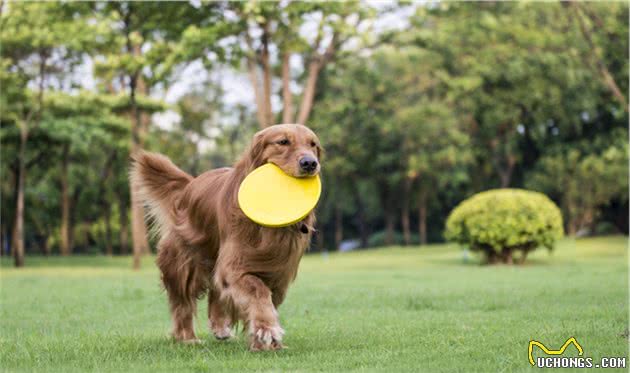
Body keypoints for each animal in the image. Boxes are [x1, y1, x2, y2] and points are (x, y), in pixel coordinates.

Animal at [131, 123, 324, 348]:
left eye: (313, 144)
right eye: (283, 142)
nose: (310, 163)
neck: (269, 229)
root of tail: (190, 184)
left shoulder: (279, 273)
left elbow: (267, 299)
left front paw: (266, 341)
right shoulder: (234, 264)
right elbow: (257, 290)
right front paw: (266, 329)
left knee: (215, 290)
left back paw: (220, 327)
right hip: (184, 262)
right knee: (183, 302)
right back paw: (187, 337)